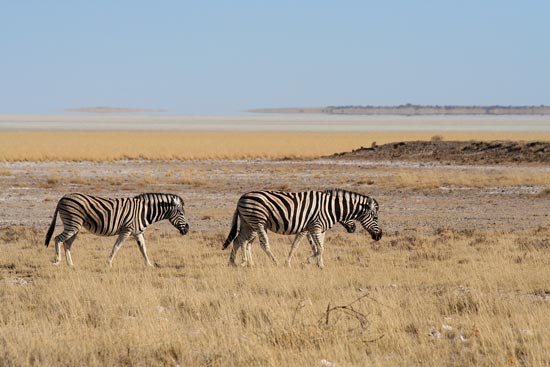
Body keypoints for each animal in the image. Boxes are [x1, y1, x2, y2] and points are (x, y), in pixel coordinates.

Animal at [44, 193, 190, 268]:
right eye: (181, 213)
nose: (187, 229)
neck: (144, 211)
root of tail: (63, 197)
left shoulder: (138, 232)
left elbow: (143, 248)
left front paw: (149, 265)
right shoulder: (126, 230)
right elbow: (116, 247)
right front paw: (108, 263)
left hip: (76, 226)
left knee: (67, 243)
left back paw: (71, 265)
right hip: (72, 224)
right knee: (58, 239)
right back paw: (57, 261)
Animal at [222, 190, 382, 268]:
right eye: (375, 218)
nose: (380, 236)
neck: (330, 208)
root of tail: (242, 197)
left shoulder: (316, 229)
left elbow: (318, 247)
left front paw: (319, 264)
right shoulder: (313, 228)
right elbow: (314, 247)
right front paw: (304, 262)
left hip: (248, 223)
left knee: (239, 241)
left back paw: (235, 263)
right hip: (258, 222)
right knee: (262, 244)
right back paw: (275, 262)